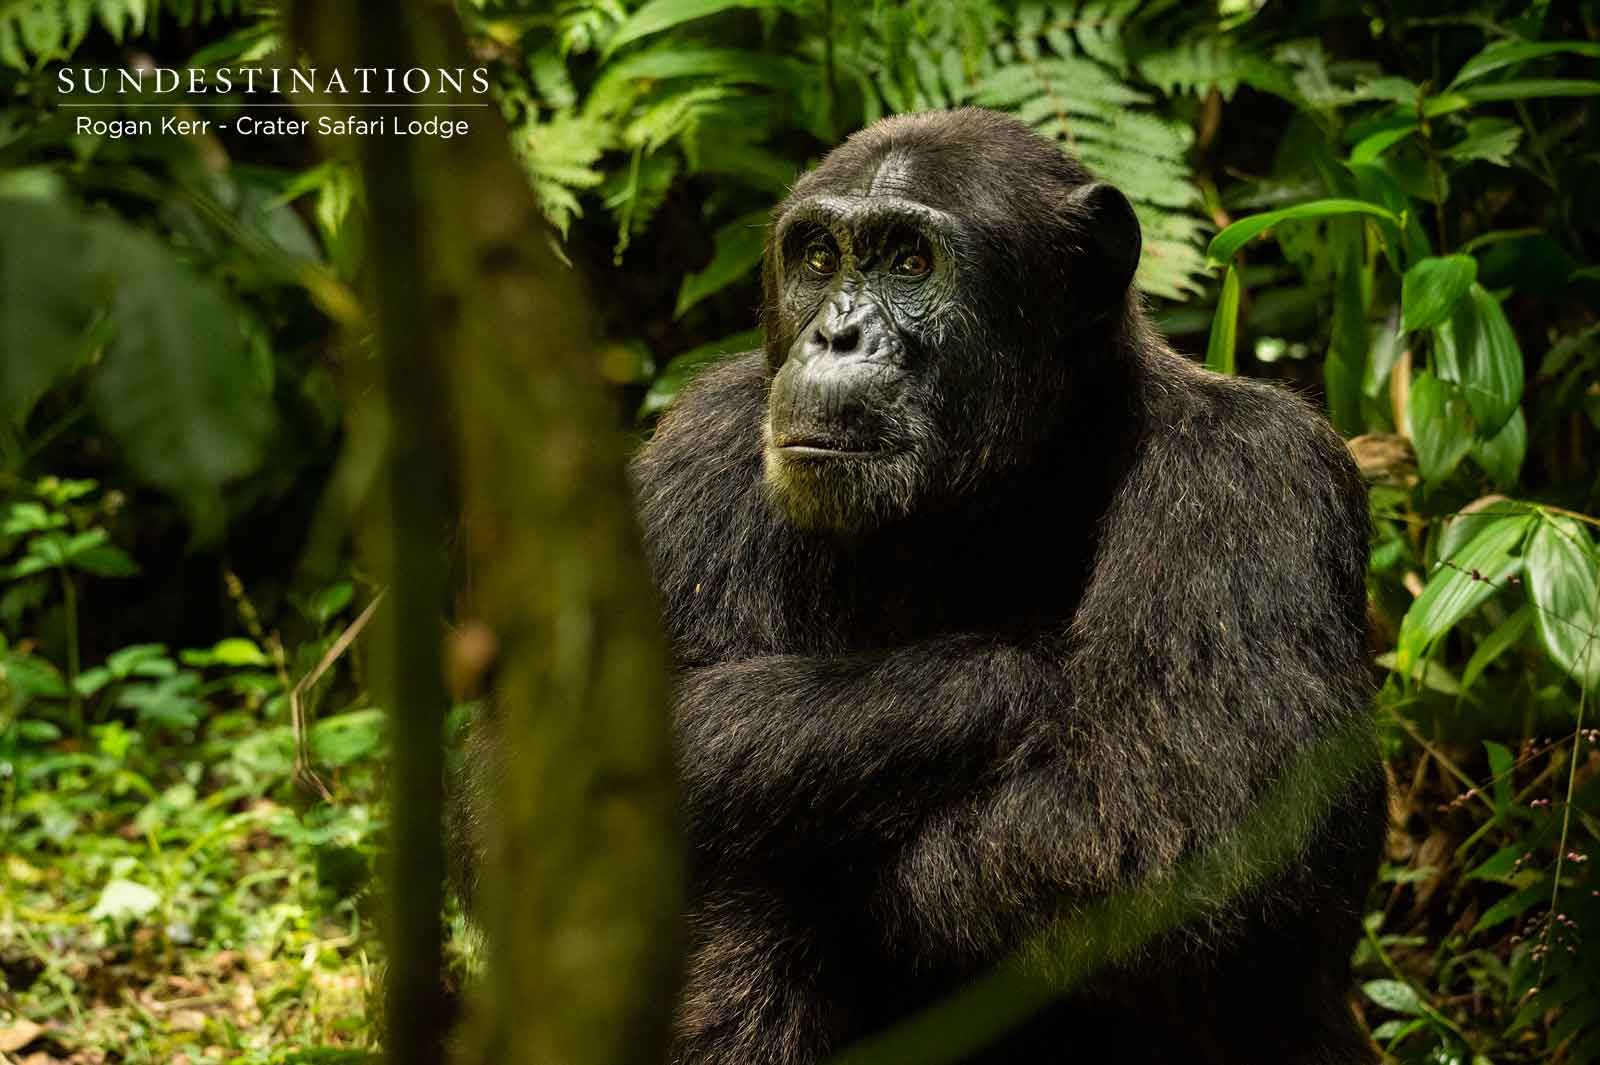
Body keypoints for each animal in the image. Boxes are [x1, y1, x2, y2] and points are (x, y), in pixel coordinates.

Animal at [627, 109, 1388, 1061]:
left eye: (909, 261)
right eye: (820, 258)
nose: (836, 333)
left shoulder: (1258, 468)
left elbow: (1198, 813)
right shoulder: (701, 459)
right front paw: (1030, 671)